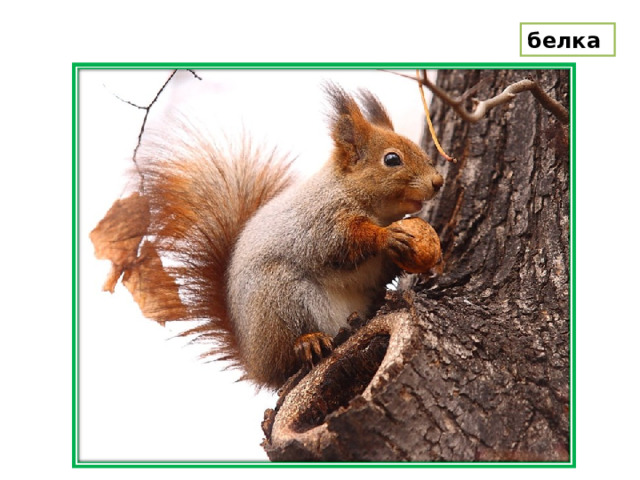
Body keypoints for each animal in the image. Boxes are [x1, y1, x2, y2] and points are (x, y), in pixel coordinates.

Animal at [92, 83, 444, 390]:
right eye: (392, 159)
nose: (438, 181)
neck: (351, 192)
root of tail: (255, 361)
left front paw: (431, 259)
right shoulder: (319, 222)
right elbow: (341, 244)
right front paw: (387, 238)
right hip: (281, 294)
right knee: (288, 358)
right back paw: (307, 342)